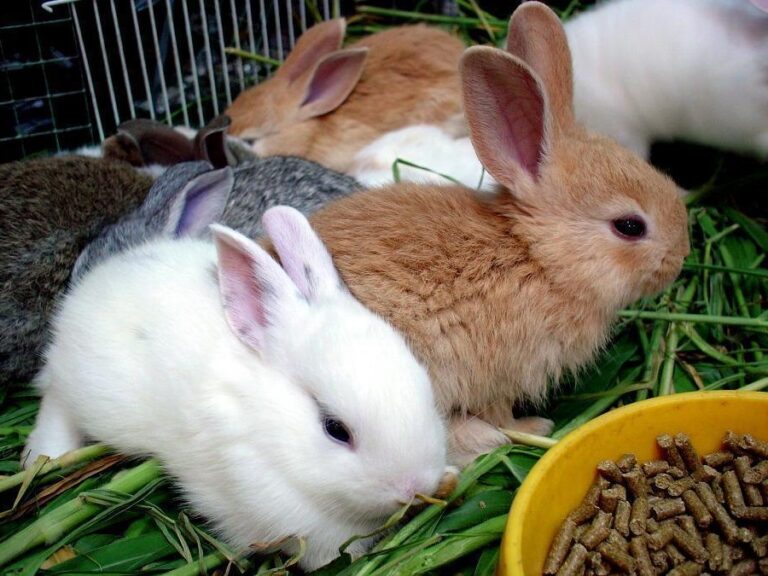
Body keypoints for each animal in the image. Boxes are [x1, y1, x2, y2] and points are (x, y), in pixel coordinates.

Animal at [23, 206, 449, 571]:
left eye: (425, 386)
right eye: (335, 429)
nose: (413, 487)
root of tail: (86, 291)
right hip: (91, 394)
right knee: (56, 401)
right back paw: (41, 456)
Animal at [301, 2, 690, 467]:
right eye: (630, 226)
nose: (682, 256)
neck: (536, 256)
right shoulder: (500, 376)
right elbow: (502, 412)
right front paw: (534, 428)